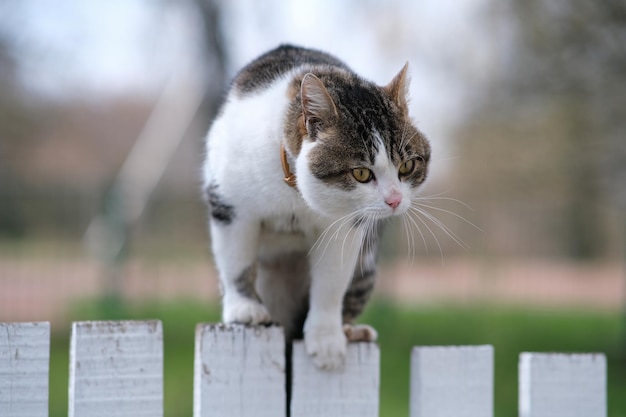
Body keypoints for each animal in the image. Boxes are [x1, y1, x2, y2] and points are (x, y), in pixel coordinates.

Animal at [202, 44, 426, 368]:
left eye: (407, 166)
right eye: (361, 173)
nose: (395, 199)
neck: (295, 195)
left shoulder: (345, 226)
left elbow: (331, 283)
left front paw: (326, 338)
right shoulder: (230, 204)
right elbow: (236, 261)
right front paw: (244, 308)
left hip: (366, 265)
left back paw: (350, 331)